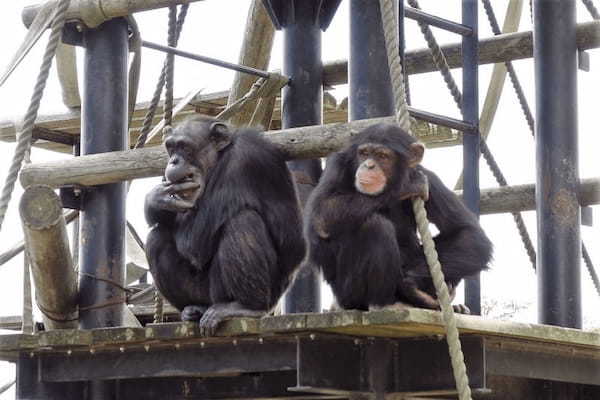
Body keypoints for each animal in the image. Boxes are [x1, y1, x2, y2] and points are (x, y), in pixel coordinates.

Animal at [144, 115, 304, 334]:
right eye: (171, 147)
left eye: (184, 147)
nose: (174, 160)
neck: (218, 159)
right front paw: (156, 200)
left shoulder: (244, 161)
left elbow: (194, 241)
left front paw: (158, 199)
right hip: (202, 293)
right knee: (156, 237)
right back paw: (193, 308)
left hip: (256, 295)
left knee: (242, 221)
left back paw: (247, 306)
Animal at [304, 122, 492, 312]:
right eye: (364, 153)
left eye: (382, 156)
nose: (369, 165)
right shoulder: (336, 165)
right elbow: (322, 213)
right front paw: (407, 185)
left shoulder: (430, 179)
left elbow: (469, 233)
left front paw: (412, 283)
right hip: (348, 295)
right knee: (375, 226)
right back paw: (383, 303)